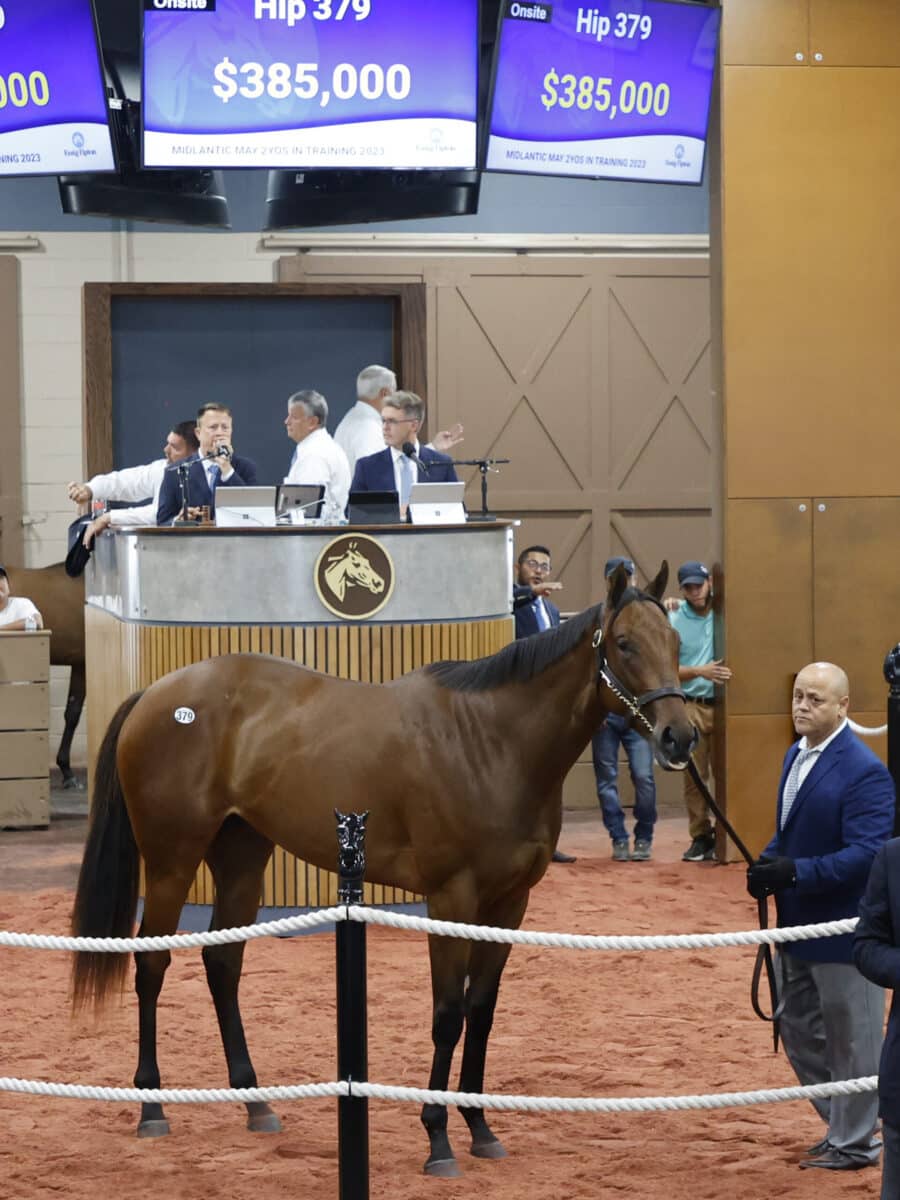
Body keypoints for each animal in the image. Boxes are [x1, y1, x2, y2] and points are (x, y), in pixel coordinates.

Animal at [72, 559, 696, 1171]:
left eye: (673, 641)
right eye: (624, 644)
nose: (679, 736)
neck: (491, 741)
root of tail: (156, 693)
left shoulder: (509, 904)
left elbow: (481, 1011)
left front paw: (480, 1127)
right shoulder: (451, 898)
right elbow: (448, 1014)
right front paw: (438, 1138)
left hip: (242, 859)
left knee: (223, 965)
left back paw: (256, 1104)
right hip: (172, 862)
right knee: (151, 966)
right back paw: (152, 1107)